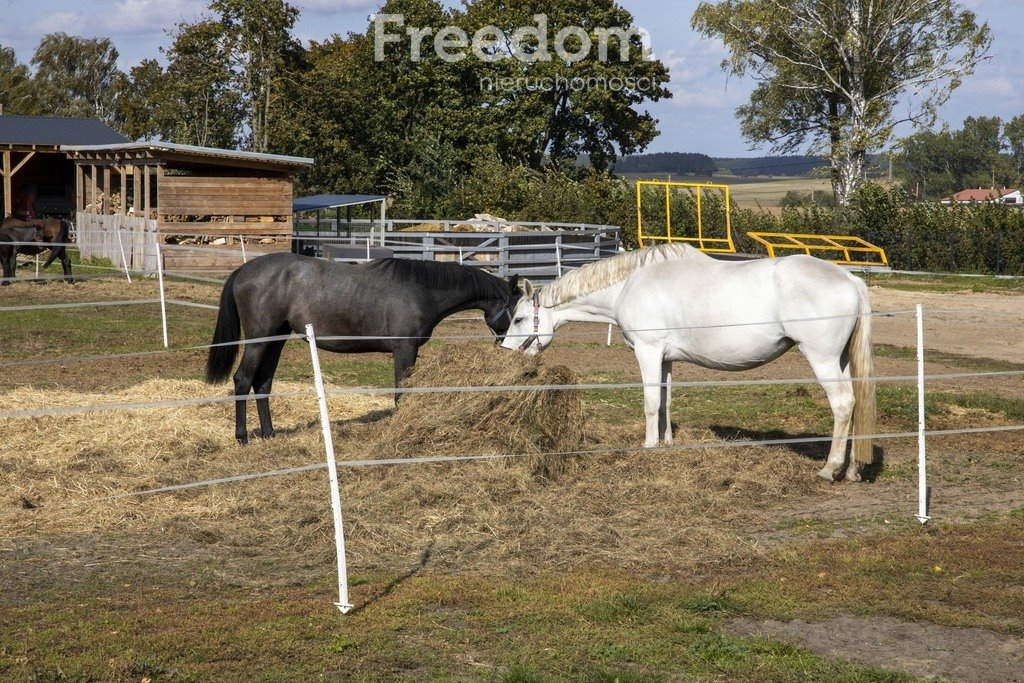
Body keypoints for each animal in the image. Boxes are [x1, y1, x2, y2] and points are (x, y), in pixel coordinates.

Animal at [204, 253, 524, 446]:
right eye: (519, 313)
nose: (517, 347)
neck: (422, 289)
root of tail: (243, 270)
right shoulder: (404, 350)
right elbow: (401, 391)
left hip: (276, 340)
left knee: (263, 383)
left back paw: (269, 434)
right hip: (259, 340)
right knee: (243, 380)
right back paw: (242, 437)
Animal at [499, 242, 876, 483]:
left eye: (519, 319)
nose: (505, 352)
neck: (630, 284)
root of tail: (849, 279)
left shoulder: (648, 351)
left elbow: (651, 402)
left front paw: (648, 446)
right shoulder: (665, 358)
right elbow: (666, 401)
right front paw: (666, 444)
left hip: (822, 358)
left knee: (843, 404)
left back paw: (829, 470)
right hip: (841, 360)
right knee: (856, 402)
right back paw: (852, 470)